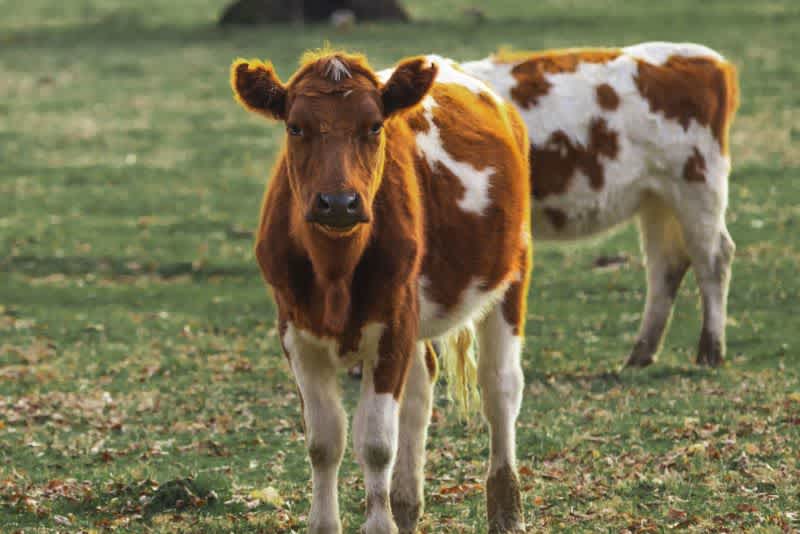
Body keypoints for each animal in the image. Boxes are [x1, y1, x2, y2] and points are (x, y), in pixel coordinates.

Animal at [231, 51, 532, 534]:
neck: (334, 272)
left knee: (499, 388)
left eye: (374, 126)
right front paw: (326, 524)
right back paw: (407, 504)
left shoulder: (392, 327)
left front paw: (379, 523)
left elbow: (374, 442)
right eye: (295, 127)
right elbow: (324, 440)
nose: (338, 203)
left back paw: (506, 510)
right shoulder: (295, 333)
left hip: (511, 274)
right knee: (420, 391)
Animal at [462, 40, 744, 368]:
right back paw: (641, 353)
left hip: (696, 185)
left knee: (714, 258)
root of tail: (710, 59)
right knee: (666, 265)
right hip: (657, 199)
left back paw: (710, 351)